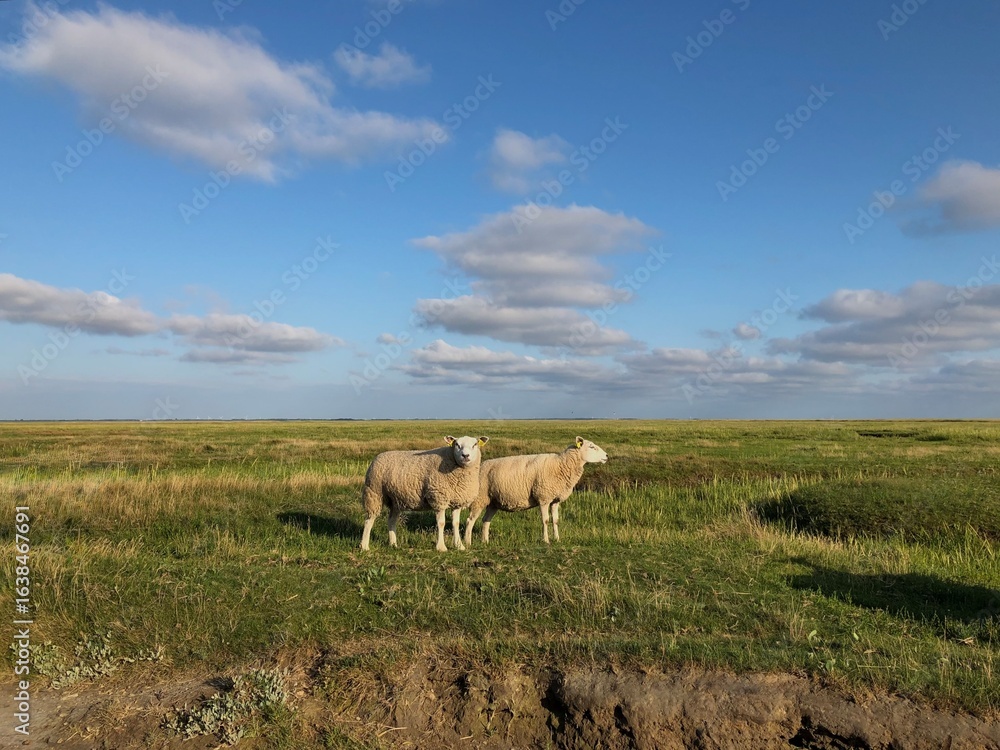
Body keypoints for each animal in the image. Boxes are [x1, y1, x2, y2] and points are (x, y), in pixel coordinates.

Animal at [360, 435, 489, 552]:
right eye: (457, 444)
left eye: (475, 444)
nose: (465, 456)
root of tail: (377, 457)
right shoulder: (439, 498)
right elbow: (441, 523)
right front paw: (441, 547)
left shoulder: (457, 501)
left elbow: (455, 523)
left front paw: (459, 546)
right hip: (374, 493)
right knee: (369, 520)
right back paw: (364, 546)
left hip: (395, 500)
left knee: (391, 520)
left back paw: (393, 544)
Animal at [463, 436, 608, 547]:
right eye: (591, 446)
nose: (607, 456)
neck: (562, 465)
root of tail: (480, 466)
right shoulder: (543, 497)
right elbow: (545, 520)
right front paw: (546, 540)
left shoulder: (555, 500)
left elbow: (555, 520)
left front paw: (557, 539)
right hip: (480, 498)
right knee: (470, 520)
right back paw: (467, 542)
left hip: (493, 501)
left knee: (485, 520)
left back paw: (485, 541)